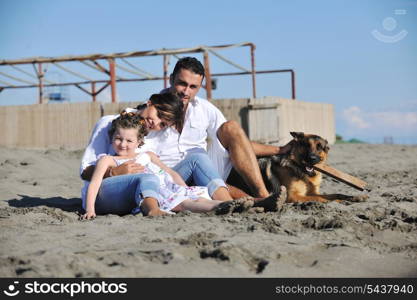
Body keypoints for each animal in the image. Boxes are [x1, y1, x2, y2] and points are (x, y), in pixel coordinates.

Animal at [226, 132, 366, 204]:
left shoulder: (313, 192)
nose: (312, 158)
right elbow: (322, 198)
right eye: (306, 145)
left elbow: (335, 194)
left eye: (319, 147)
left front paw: (354, 197)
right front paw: (338, 201)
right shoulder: (293, 196)